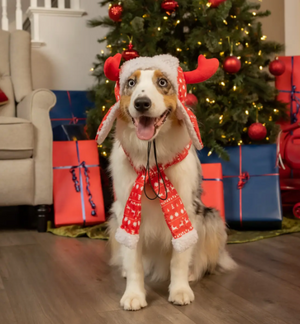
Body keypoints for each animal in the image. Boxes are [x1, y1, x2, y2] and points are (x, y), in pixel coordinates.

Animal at [96, 53, 237, 312]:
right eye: (131, 83)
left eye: (162, 82)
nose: (141, 103)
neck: (152, 160)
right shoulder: (126, 212)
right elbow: (134, 261)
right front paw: (134, 294)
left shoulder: (187, 211)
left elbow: (179, 258)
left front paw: (180, 290)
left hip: (211, 219)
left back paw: (193, 273)